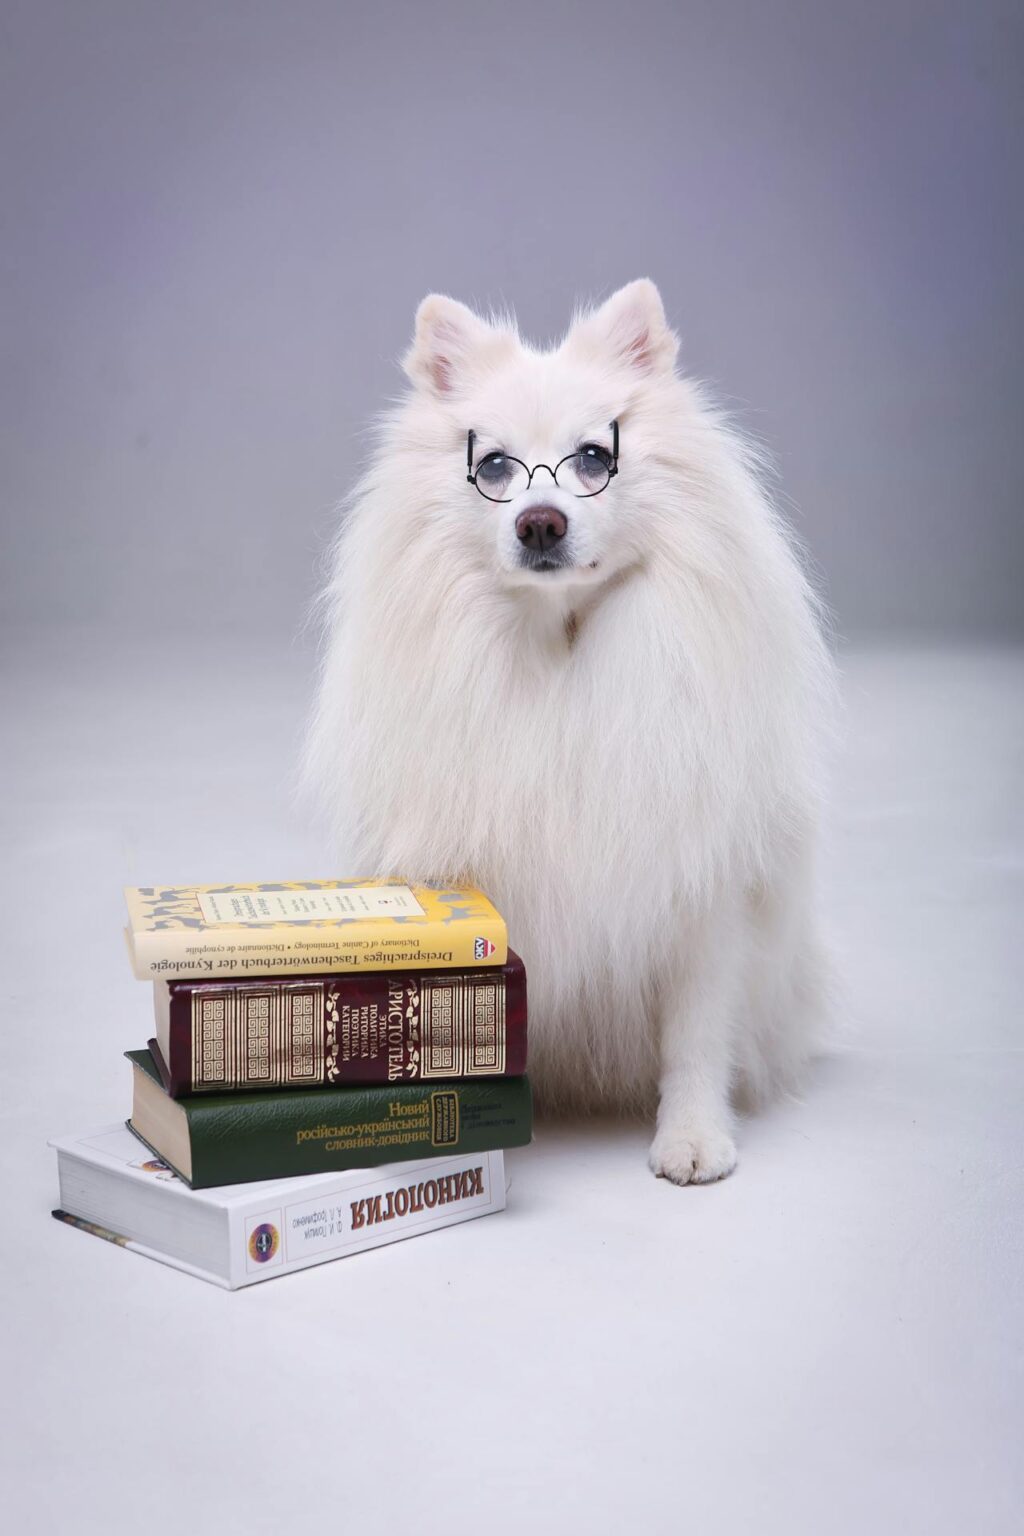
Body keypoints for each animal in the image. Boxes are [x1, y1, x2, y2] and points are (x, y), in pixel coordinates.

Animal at [302, 282, 835, 1179]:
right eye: (493, 467)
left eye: (593, 458)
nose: (541, 523)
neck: (560, 650)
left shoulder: (703, 898)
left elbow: (696, 1035)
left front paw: (694, 1138)